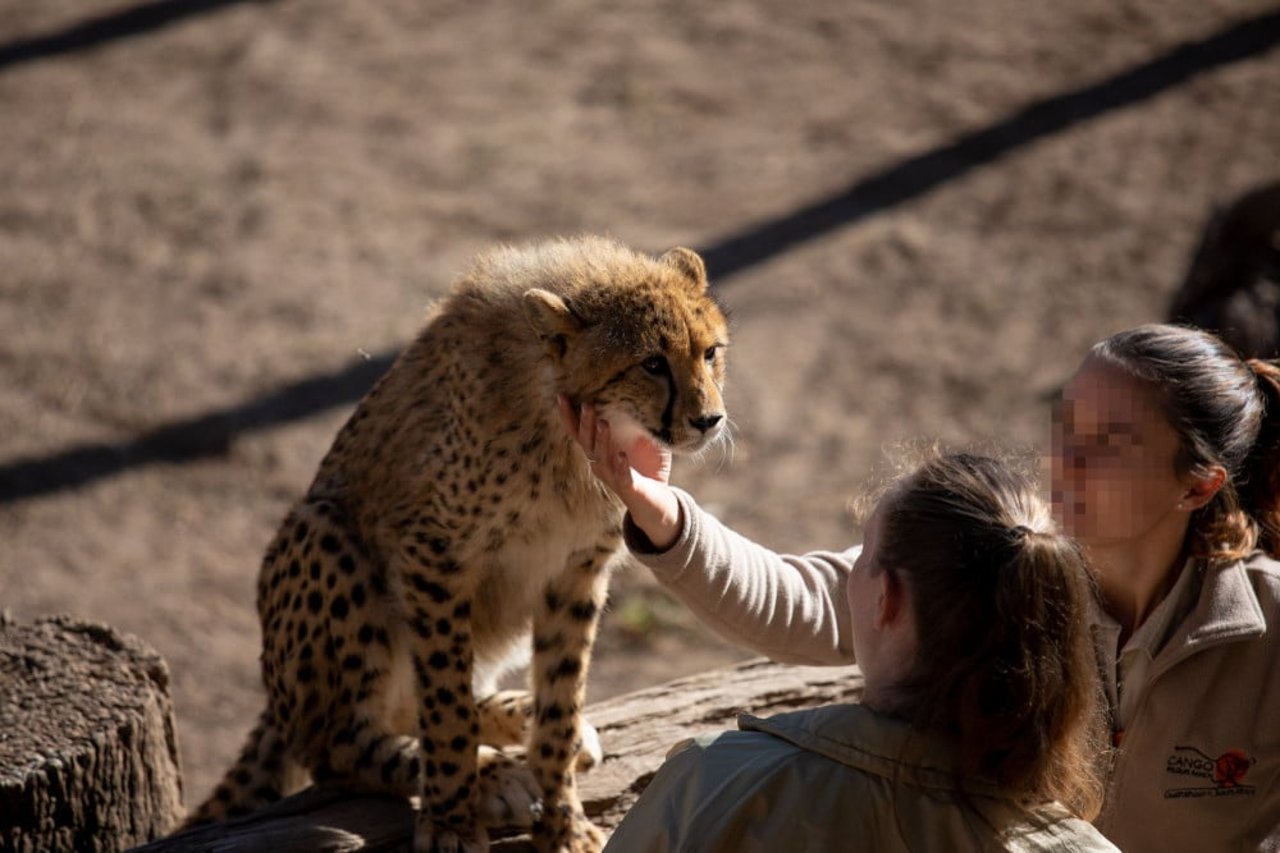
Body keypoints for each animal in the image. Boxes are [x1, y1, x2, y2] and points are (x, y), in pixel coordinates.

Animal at [186, 234, 737, 850]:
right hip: (322, 530)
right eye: (652, 363)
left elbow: (561, 699)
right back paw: (490, 773)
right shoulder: (433, 558)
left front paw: (565, 822)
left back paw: (519, 723)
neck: (564, 434)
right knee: (338, 746)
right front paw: (452, 817)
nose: (710, 420)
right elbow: (447, 707)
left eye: (709, 352)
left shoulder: (576, 570)